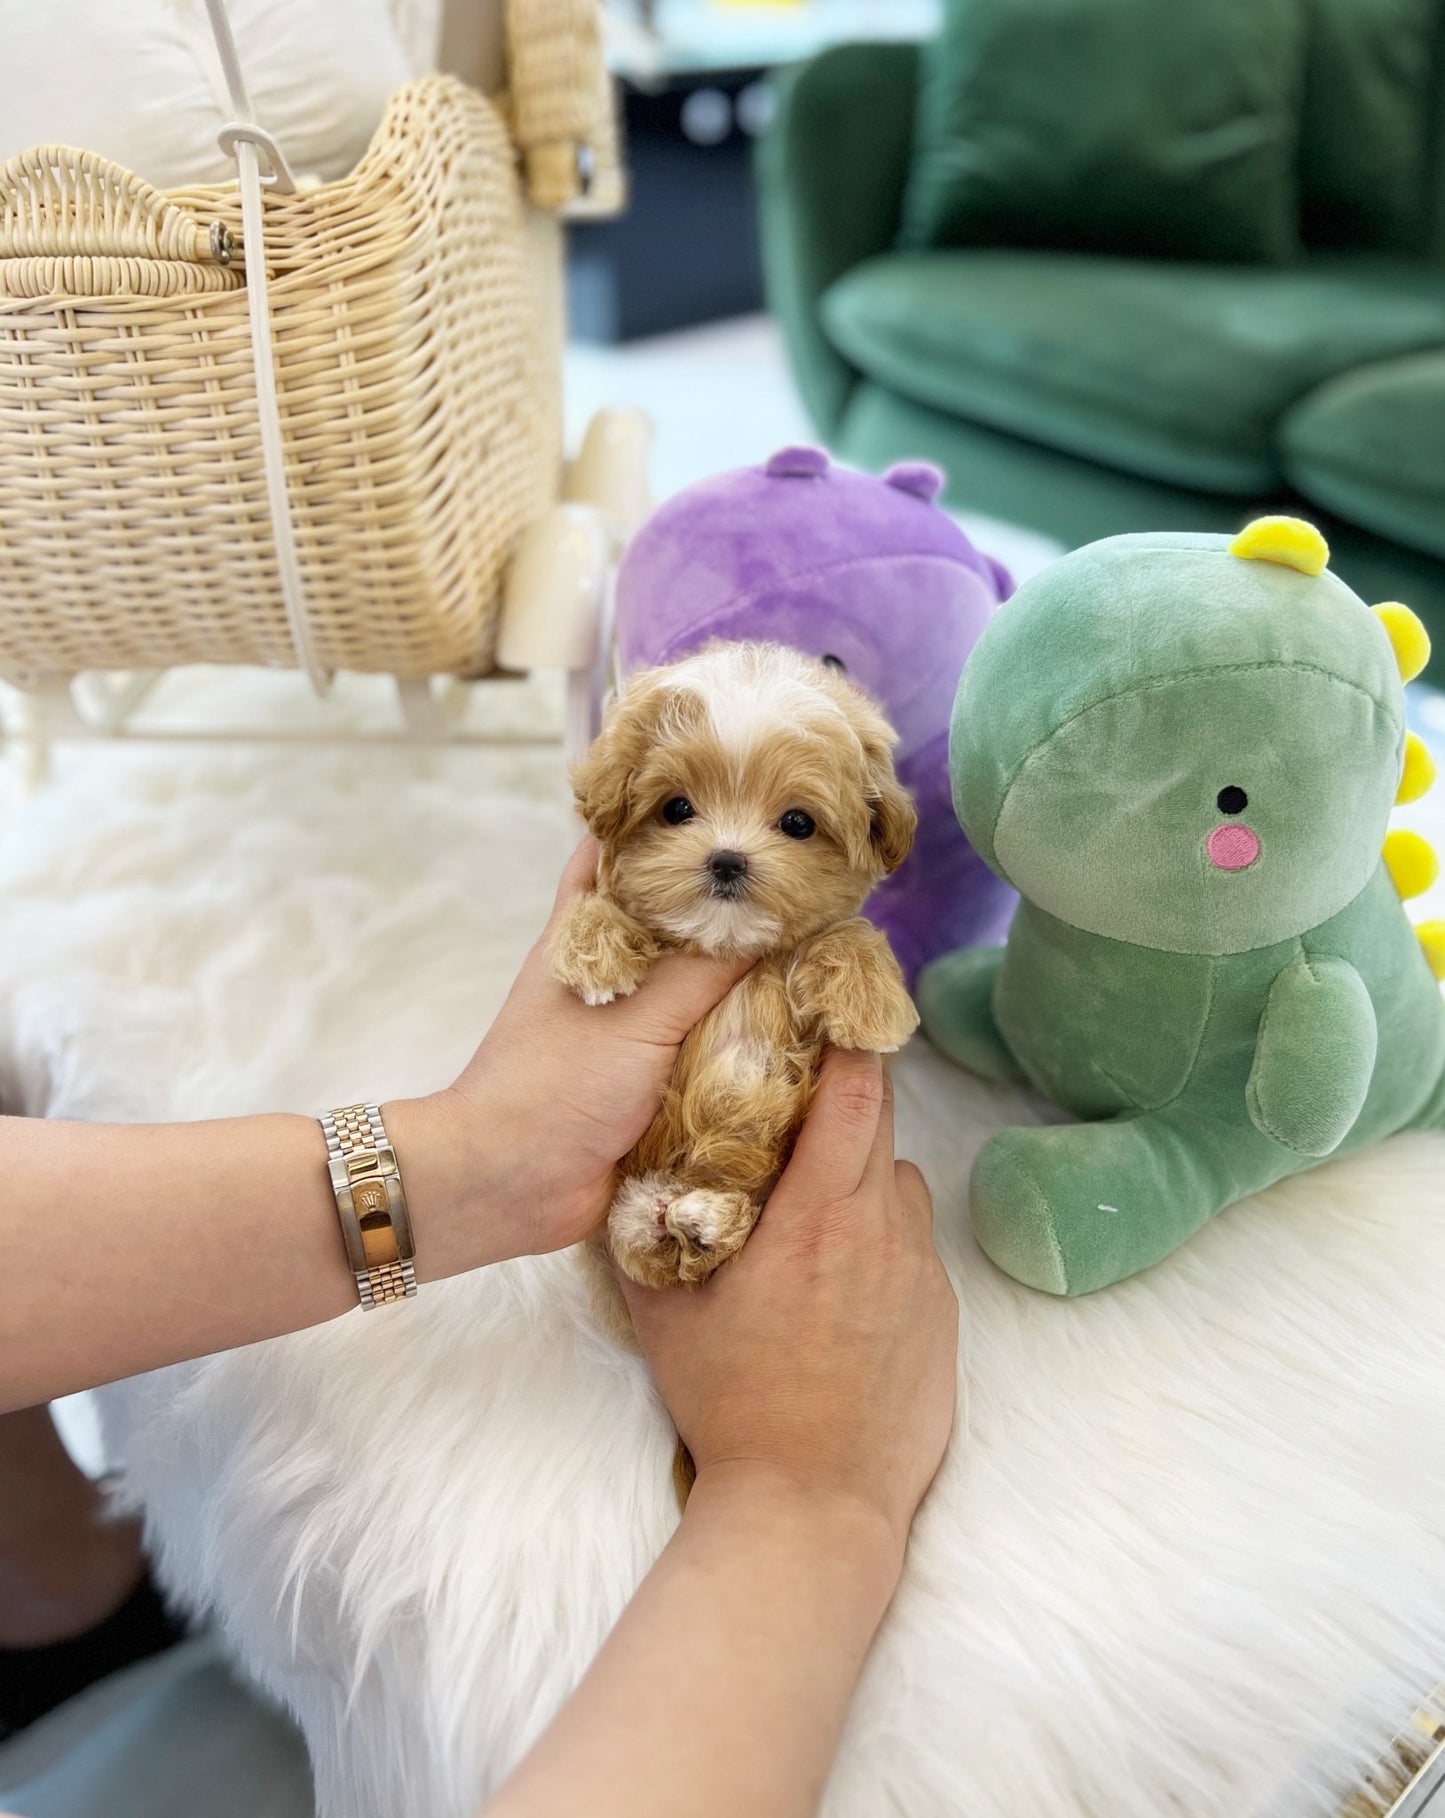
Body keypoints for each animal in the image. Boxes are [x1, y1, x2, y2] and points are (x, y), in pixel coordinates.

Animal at [548, 643, 919, 1294]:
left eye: (798, 823)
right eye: (677, 809)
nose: (726, 859)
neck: (725, 947)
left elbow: (847, 933)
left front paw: (871, 1002)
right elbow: (593, 902)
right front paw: (596, 950)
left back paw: (708, 1219)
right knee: (643, 1243)